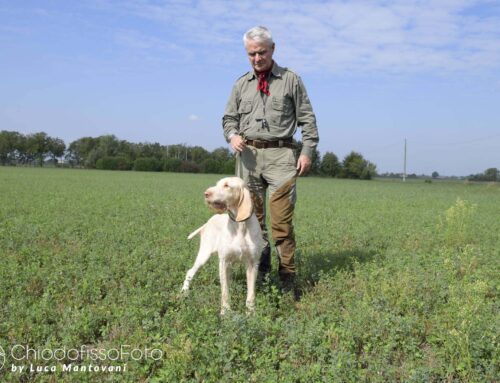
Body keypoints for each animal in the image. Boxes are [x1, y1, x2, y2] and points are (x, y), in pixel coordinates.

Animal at [181, 177, 266, 316]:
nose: (206, 194)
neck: (240, 225)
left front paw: (250, 313)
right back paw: (184, 292)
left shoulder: (253, 264)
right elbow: (225, 292)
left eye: (227, 185)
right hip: (204, 255)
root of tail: (207, 222)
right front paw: (225, 312)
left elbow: (251, 294)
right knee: (190, 272)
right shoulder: (224, 261)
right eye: (217, 184)